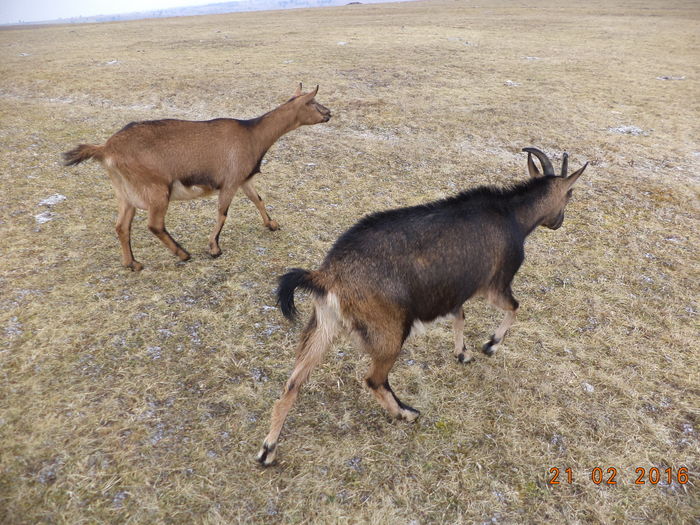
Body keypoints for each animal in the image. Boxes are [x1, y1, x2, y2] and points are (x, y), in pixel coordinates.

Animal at [62, 83, 330, 270]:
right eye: (313, 102)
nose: (329, 113)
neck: (252, 135)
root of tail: (106, 149)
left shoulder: (244, 180)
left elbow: (258, 200)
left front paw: (272, 225)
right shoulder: (230, 181)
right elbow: (222, 213)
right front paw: (214, 248)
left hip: (124, 192)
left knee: (121, 226)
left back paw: (132, 264)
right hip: (156, 189)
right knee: (154, 225)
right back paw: (183, 253)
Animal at [258, 146, 584, 462]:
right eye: (570, 194)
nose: (558, 222)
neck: (513, 215)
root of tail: (327, 276)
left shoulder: (454, 289)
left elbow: (460, 317)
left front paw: (462, 354)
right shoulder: (494, 285)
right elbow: (514, 307)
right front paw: (490, 345)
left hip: (323, 324)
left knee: (293, 384)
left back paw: (268, 448)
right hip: (389, 330)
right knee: (374, 380)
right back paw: (406, 413)